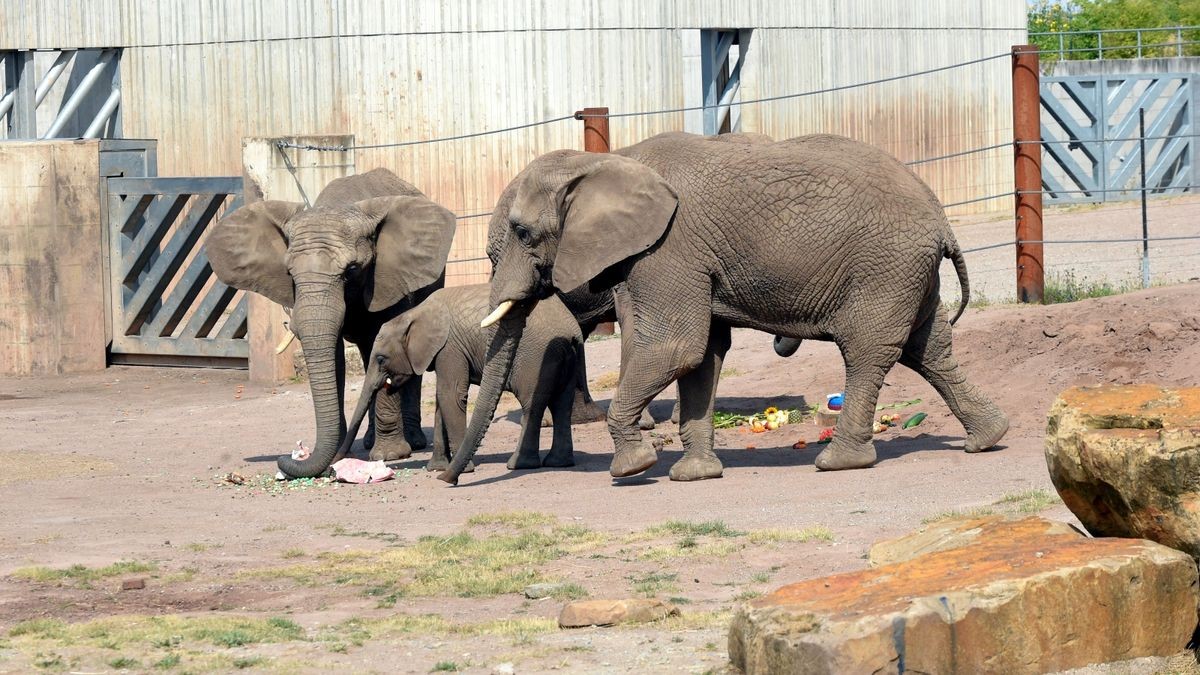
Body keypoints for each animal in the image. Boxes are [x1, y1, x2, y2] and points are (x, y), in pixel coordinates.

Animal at [206, 165, 453, 475]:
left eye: (352, 270)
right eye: (289, 273)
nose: (289, 456)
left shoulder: (391, 276)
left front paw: (390, 455)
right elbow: (334, 357)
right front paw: (337, 452)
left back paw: (414, 442)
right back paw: (369, 440)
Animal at [338, 283, 580, 473]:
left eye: (380, 359)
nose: (334, 468)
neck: (413, 315)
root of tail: (571, 330)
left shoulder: (450, 348)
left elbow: (451, 396)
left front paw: (461, 469)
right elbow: (440, 402)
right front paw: (436, 468)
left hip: (535, 358)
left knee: (532, 404)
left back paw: (518, 465)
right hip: (567, 356)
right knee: (562, 404)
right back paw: (558, 463)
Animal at [439, 131, 1003, 480]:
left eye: (522, 232)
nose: (449, 480)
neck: (604, 160)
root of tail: (942, 219)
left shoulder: (667, 249)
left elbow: (676, 346)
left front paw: (633, 468)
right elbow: (701, 356)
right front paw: (694, 475)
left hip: (884, 266)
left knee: (869, 352)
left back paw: (839, 463)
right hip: (906, 272)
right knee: (928, 350)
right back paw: (988, 439)